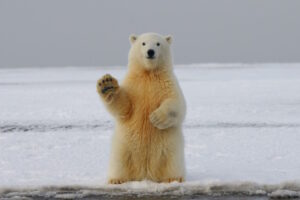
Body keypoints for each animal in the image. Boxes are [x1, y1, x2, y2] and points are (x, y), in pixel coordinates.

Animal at [96, 32, 185, 184]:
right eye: (143, 43)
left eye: (158, 43)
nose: (150, 52)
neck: (148, 73)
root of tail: (145, 173)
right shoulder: (133, 86)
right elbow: (124, 106)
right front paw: (107, 84)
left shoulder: (168, 84)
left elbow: (176, 103)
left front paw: (156, 118)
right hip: (124, 145)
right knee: (119, 161)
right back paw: (116, 179)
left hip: (170, 146)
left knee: (172, 161)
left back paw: (173, 178)